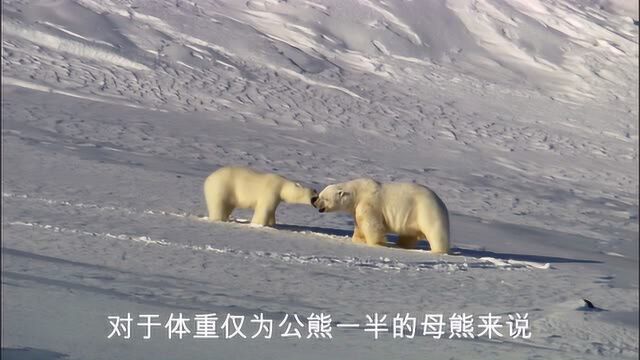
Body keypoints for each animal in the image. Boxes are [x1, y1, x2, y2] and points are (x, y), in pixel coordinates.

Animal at [312, 179, 450, 253]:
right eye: (320, 195)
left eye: (323, 198)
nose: (314, 201)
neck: (358, 192)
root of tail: (442, 204)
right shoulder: (356, 209)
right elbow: (359, 225)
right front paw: (359, 239)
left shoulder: (369, 204)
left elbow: (372, 225)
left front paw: (377, 243)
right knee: (408, 234)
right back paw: (401, 245)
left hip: (426, 211)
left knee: (435, 233)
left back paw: (438, 251)